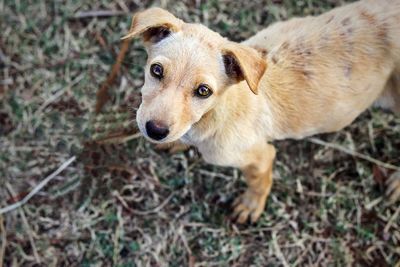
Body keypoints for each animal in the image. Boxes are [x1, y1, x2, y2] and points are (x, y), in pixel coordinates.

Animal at [122, 0, 400, 224]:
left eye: (203, 91)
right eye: (156, 70)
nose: (155, 130)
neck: (217, 112)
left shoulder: (260, 156)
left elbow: (259, 182)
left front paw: (250, 205)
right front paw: (175, 142)